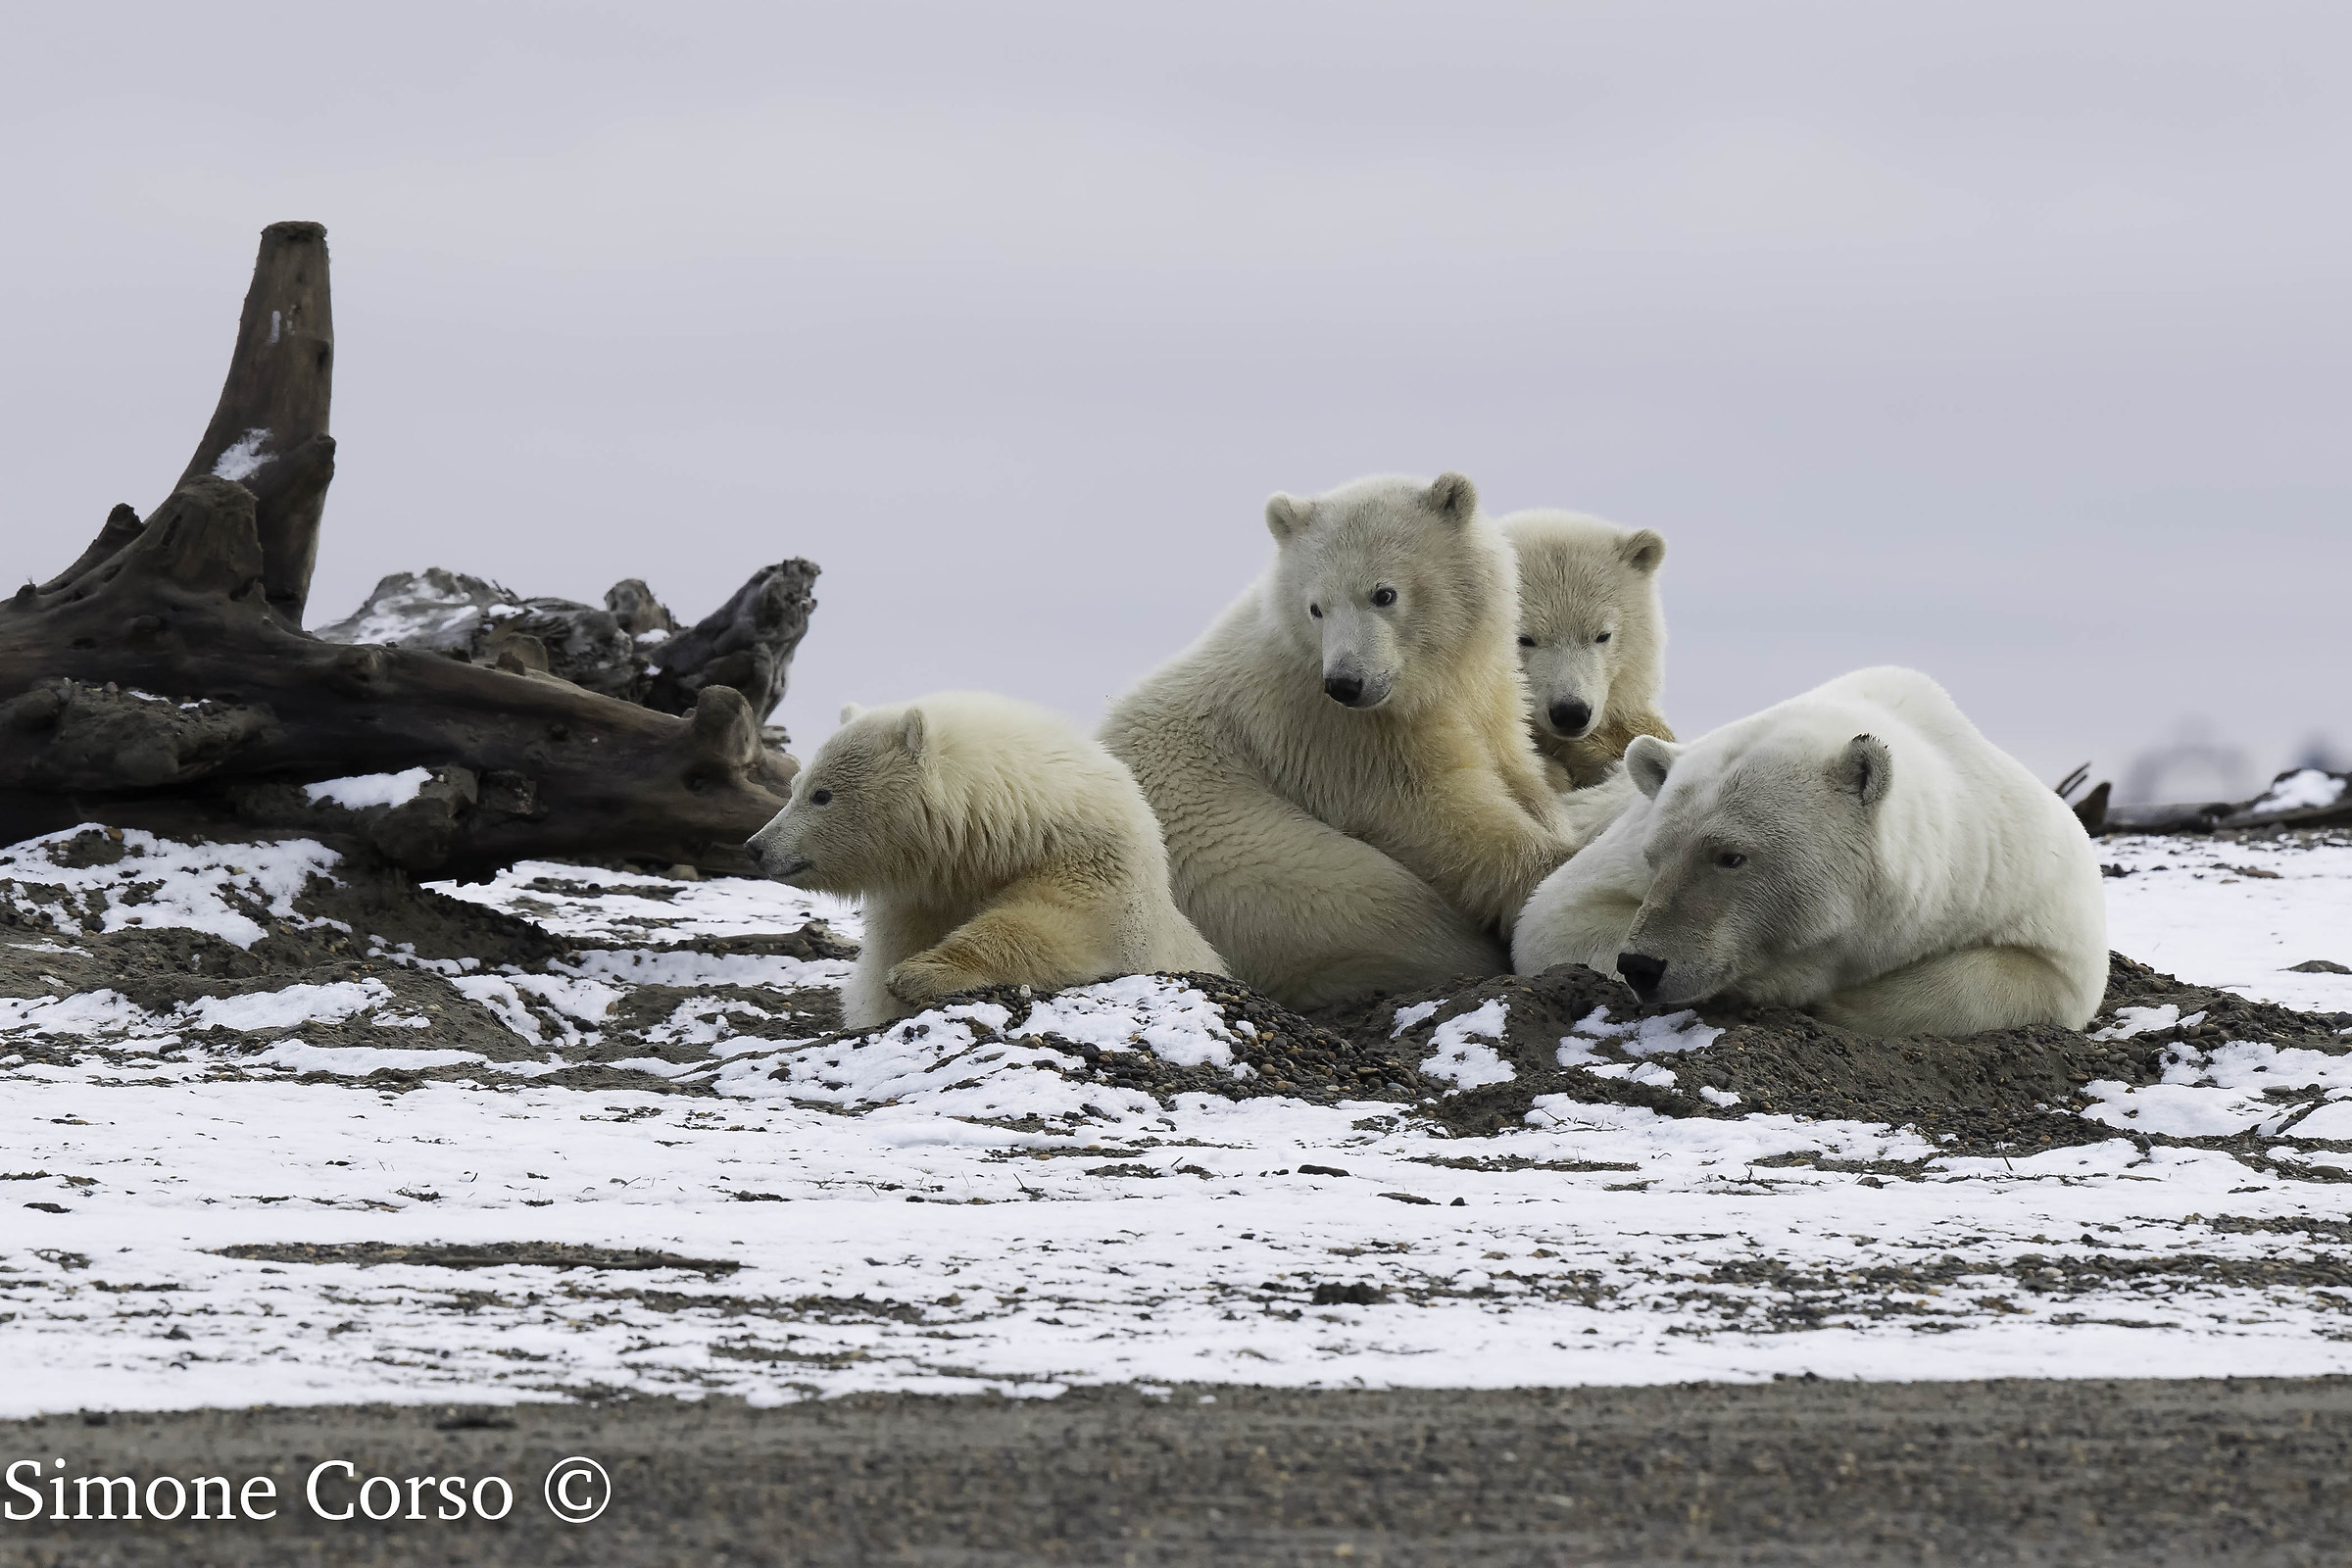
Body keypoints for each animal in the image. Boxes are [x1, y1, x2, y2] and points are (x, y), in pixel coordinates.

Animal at [746, 691, 1227, 1030]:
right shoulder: (923, 897)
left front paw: (919, 973)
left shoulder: (1093, 862)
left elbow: (1060, 927)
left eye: (821, 795)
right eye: (795, 785)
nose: (756, 846)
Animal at [1100, 472, 1596, 1011]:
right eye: (1316, 607)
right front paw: (1554, 872)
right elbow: (1436, 810)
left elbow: (1513, 766)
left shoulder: (1485, 691)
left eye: (1384, 594)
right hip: (1259, 874)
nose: (1345, 683)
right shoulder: (1332, 733)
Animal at [1511, 666, 2107, 1036]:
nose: (1641, 966)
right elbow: (1556, 918)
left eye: (1730, 856)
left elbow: (2043, 979)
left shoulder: (2009, 868)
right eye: (1655, 856)